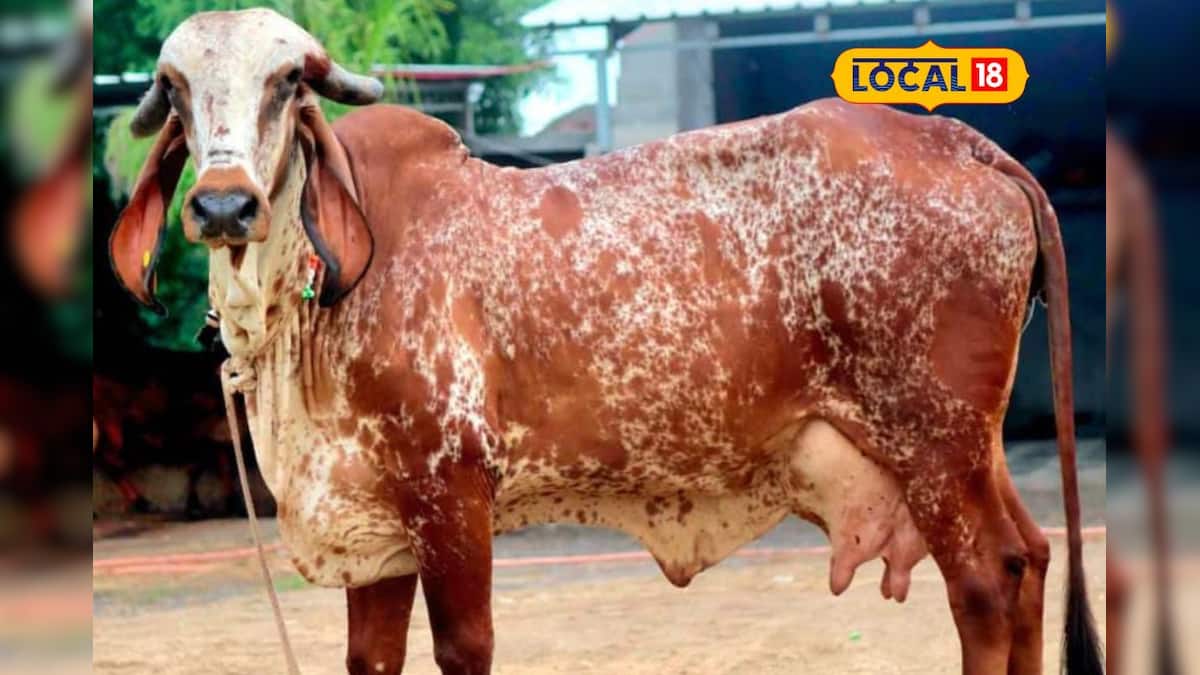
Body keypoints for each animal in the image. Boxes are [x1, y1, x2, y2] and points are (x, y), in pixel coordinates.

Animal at [108, 9, 1102, 675]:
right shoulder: (373, 527)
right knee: (1032, 557)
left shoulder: (451, 494)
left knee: (986, 583)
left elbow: (465, 645)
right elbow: (372, 657)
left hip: (933, 445)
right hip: (966, 450)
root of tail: (951, 135)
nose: (224, 206)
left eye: (286, 84)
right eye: (178, 91)